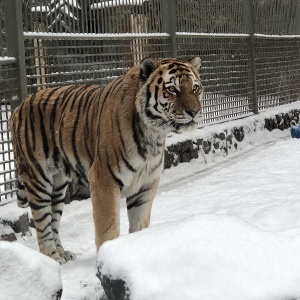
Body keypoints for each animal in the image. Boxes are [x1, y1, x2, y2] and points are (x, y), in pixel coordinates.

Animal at [10, 57, 205, 264]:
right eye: (172, 89)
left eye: (195, 88)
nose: (194, 111)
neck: (154, 134)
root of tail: (18, 107)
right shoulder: (104, 180)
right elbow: (108, 228)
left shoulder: (146, 184)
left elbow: (139, 224)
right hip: (39, 178)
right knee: (42, 222)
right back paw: (53, 257)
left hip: (58, 185)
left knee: (53, 219)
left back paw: (63, 253)